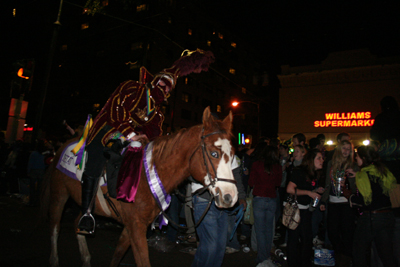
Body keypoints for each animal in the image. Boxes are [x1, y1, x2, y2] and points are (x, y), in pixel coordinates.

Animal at [41, 107, 238, 267]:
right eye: (214, 153)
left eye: (233, 155)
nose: (230, 197)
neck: (146, 175)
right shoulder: (136, 227)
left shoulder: (132, 227)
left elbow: (117, 256)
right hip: (59, 195)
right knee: (54, 227)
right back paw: (54, 259)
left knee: (77, 223)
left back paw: (86, 258)